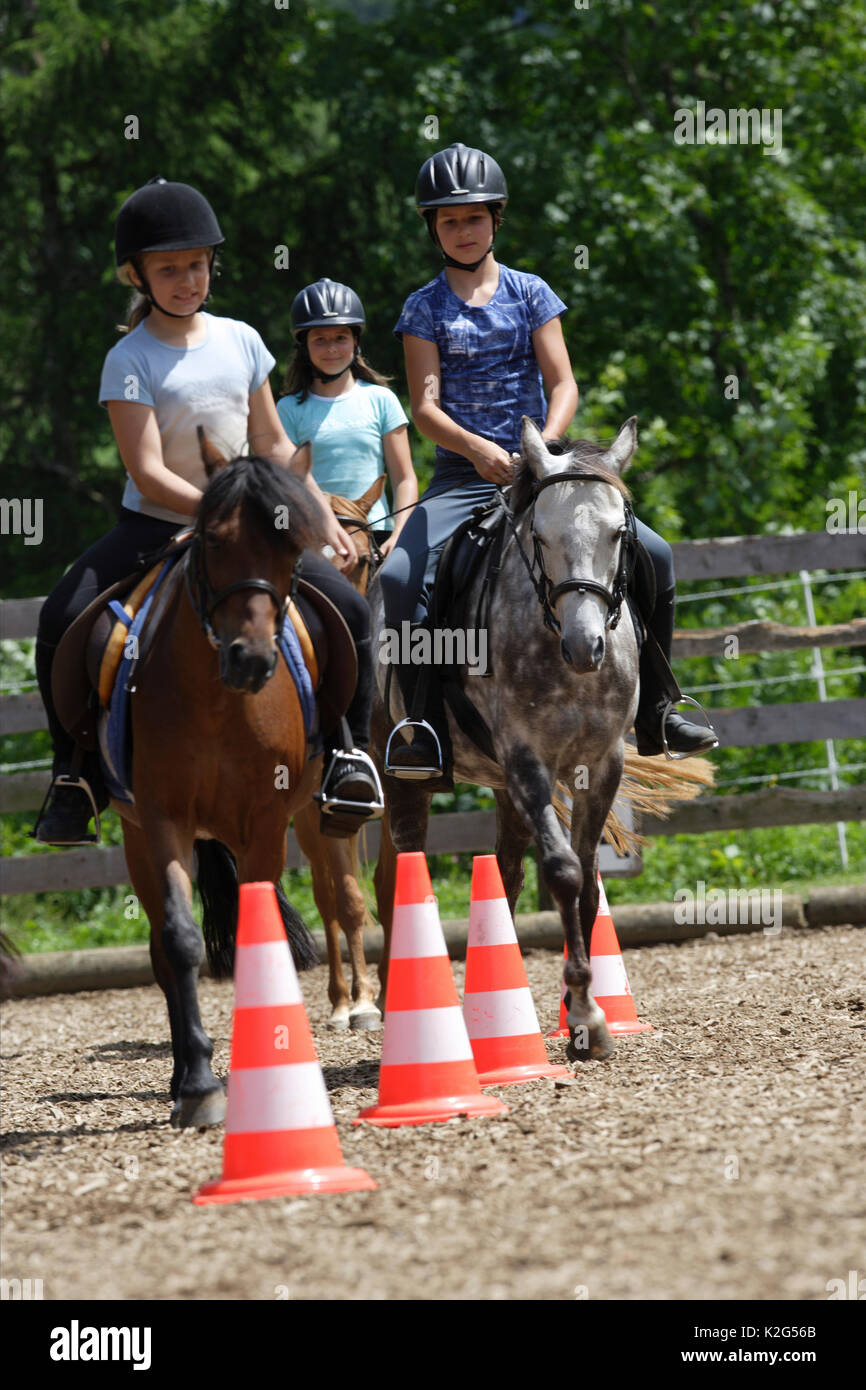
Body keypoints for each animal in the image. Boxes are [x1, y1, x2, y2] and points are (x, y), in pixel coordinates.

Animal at [113, 452, 326, 1127]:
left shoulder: (266, 824)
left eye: (292, 549)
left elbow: (260, 937)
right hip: (136, 837)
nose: (251, 661)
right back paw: (186, 1076)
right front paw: (204, 1086)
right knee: (162, 949)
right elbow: (181, 942)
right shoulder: (163, 819)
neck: (216, 701)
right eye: (212, 540)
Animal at [370, 416, 644, 1064]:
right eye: (539, 536)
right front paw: (587, 1010)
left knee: (509, 871)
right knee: (406, 868)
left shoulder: (602, 764)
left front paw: (580, 1017)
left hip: (501, 787)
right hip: (402, 771)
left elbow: (587, 881)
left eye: (618, 534)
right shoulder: (527, 761)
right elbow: (565, 871)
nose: (585, 646)